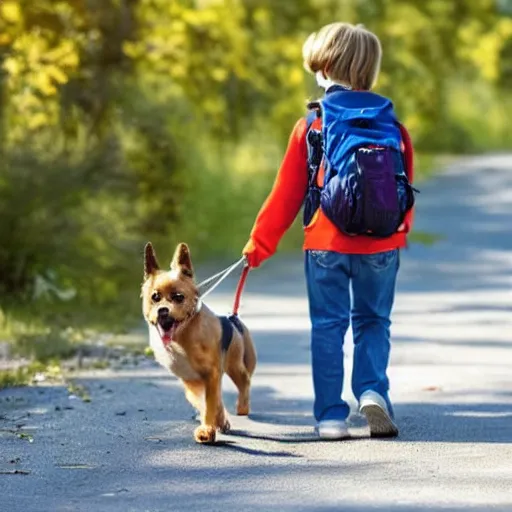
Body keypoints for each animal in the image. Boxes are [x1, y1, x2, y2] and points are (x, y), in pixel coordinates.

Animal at [141, 242, 256, 442]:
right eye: (155, 297)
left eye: (178, 297)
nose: (163, 310)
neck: (182, 337)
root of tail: (233, 318)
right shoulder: (191, 382)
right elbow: (206, 403)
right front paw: (217, 422)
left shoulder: (211, 375)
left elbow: (210, 403)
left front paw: (208, 429)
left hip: (234, 364)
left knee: (244, 380)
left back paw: (242, 406)